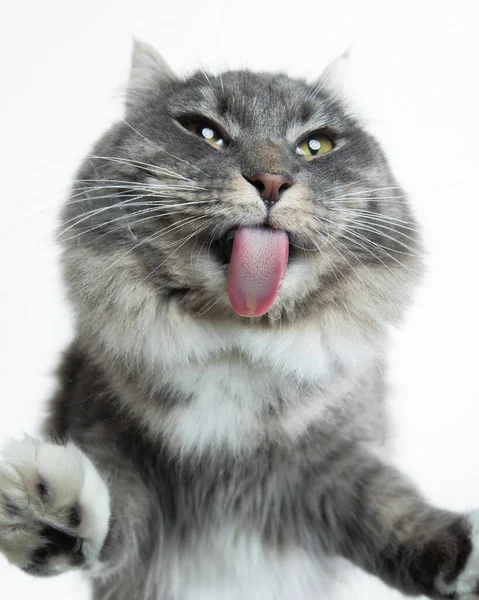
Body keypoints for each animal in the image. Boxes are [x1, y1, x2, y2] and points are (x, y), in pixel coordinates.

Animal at [0, 42, 479, 600]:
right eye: (206, 132)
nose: (271, 182)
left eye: (315, 145)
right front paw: (45, 506)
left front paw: (465, 553)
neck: (235, 340)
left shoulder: (333, 463)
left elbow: (392, 512)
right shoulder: (110, 441)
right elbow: (110, 511)